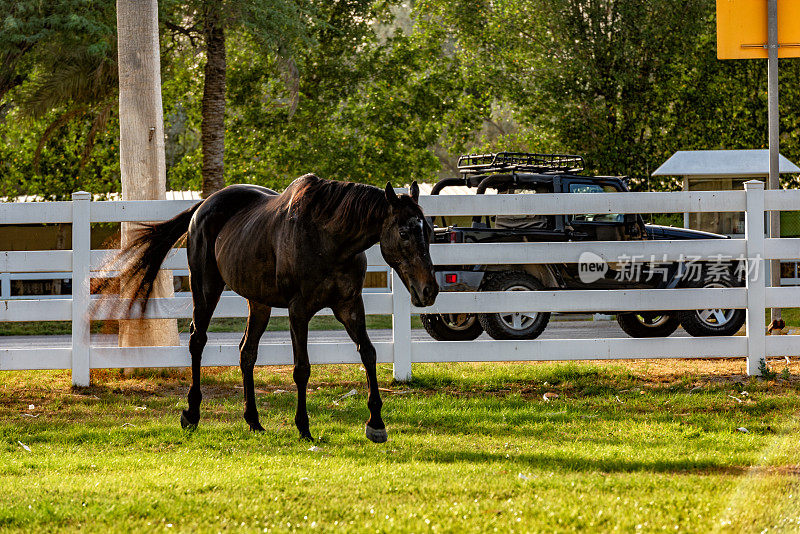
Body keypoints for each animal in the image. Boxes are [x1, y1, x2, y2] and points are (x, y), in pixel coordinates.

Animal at [109, 176, 438, 444]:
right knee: (197, 341)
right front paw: (303, 427)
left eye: (429, 231)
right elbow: (302, 369)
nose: (429, 290)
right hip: (205, 288)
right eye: (404, 233)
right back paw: (192, 413)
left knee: (246, 353)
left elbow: (368, 354)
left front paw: (376, 424)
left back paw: (253, 420)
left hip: (259, 303)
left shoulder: (350, 305)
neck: (328, 238)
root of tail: (203, 205)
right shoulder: (299, 311)